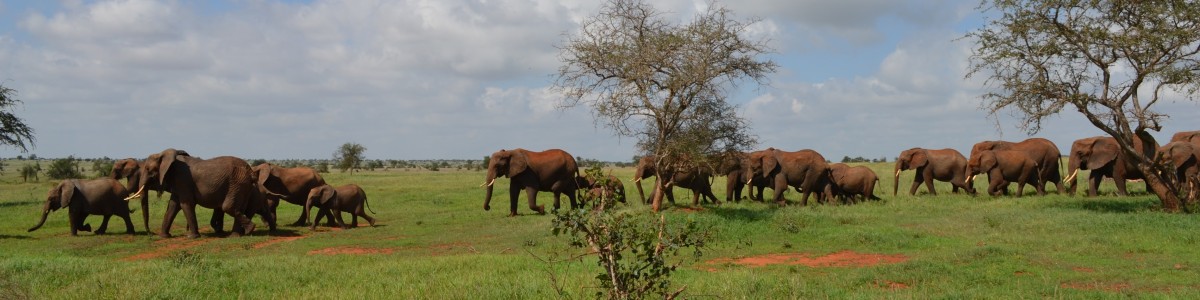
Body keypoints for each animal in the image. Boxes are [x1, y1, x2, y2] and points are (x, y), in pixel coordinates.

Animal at [125, 148, 266, 237]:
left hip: (237, 183)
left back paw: (248, 230)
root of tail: (251, 171)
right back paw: (237, 235)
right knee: (239, 208)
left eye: (149, 170)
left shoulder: (182, 179)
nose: (150, 234)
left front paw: (192, 237)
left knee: (228, 207)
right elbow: (173, 206)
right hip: (242, 186)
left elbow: (186, 204)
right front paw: (164, 236)